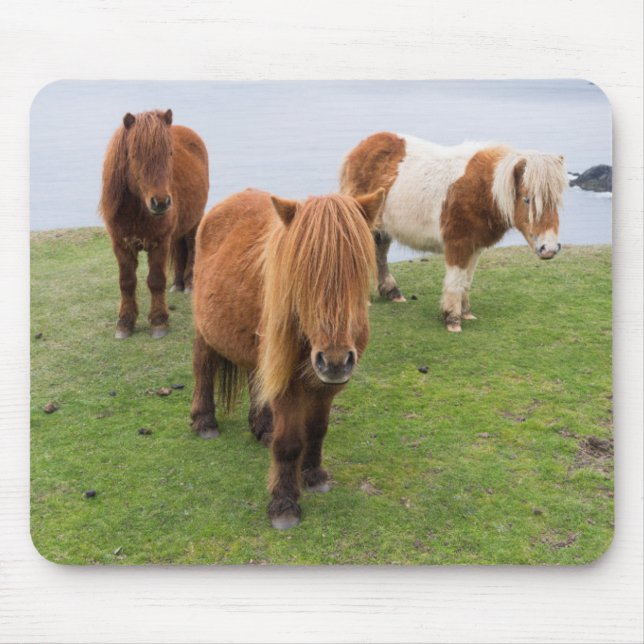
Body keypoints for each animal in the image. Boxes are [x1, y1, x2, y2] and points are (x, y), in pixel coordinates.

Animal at [99, 109, 209, 339]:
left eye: (170, 154)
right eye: (134, 155)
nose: (161, 202)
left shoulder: (159, 243)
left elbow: (156, 281)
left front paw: (159, 322)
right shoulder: (121, 245)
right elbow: (127, 282)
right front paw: (125, 323)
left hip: (194, 222)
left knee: (192, 247)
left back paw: (188, 283)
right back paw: (178, 283)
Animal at [190, 187, 384, 529]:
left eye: (357, 269)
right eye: (303, 275)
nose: (335, 360)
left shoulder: (327, 386)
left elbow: (317, 429)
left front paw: (314, 475)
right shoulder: (289, 385)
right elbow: (289, 442)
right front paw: (284, 503)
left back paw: (262, 427)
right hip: (205, 331)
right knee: (203, 368)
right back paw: (204, 421)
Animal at [339, 132, 567, 332]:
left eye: (555, 201)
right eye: (527, 200)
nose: (549, 249)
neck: (483, 189)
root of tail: (360, 149)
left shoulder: (475, 246)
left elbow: (466, 280)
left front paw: (465, 312)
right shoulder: (458, 244)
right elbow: (456, 280)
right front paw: (452, 319)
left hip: (382, 229)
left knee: (379, 253)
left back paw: (392, 292)